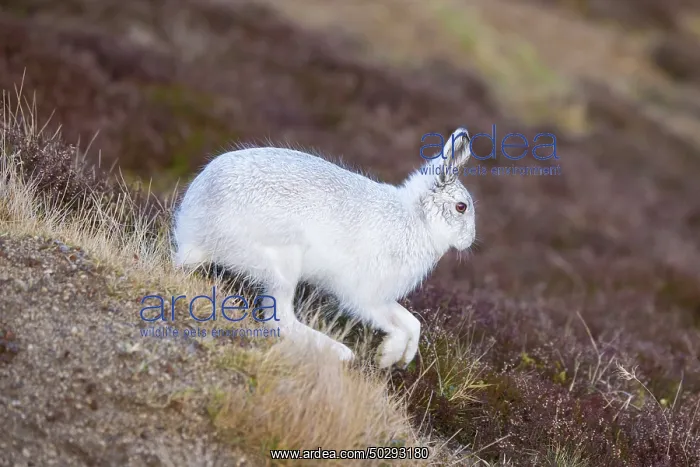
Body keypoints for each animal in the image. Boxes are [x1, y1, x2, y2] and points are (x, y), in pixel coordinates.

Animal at [172, 128, 476, 368]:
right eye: (461, 207)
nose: (470, 240)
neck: (416, 219)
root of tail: (194, 230)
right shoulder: (364, 297)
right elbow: (395, 324)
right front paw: (387, 357)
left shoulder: (383, 297)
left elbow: (413, 323)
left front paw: (398, 360)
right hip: (283, 261)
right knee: (278, 318)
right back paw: (339, 352)